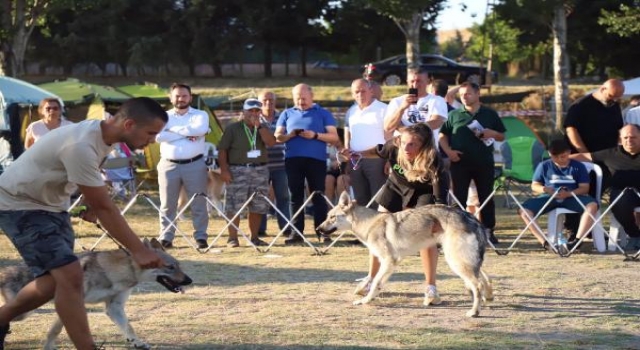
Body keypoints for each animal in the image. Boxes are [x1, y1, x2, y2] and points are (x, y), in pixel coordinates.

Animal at [0, 237, 192, 348]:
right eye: (170, 267)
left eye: (179, 266)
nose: (189, 281)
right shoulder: (71, 302)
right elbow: (55, 330)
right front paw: (48, 347)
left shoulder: (114, 307)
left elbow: (128, 326)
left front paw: (137, 342)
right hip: (24, 313)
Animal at [318, 193, 492, 318]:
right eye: (327, 216)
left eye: (332, 217)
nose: (318, 229)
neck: (369, 224)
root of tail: (473, 219)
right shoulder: (388, 262)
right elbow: (377, 283)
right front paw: (369, 297)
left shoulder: (388, 261)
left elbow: (375, 283)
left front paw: (365, 300)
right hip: (465, 261)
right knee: (485, 278)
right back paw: (488, 297)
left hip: (455, 261)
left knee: (478, 284)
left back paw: (474, 312)